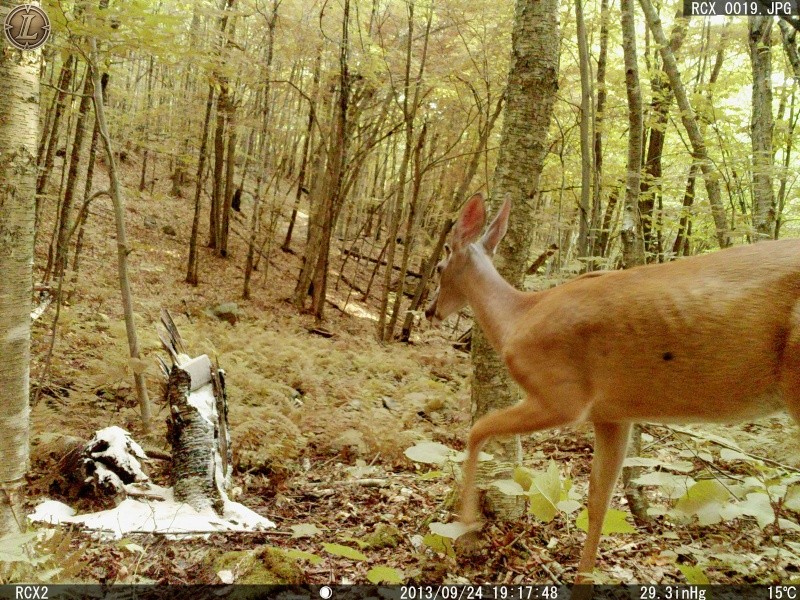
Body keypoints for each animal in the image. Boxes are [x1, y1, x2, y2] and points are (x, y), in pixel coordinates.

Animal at [424, 192, 800, 580]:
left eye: (440, 266)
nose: (429, 310)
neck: (518, 317)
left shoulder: (561, 394)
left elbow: (477, 429)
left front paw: (466, 522)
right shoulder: (613, 415)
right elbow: (598, 502)